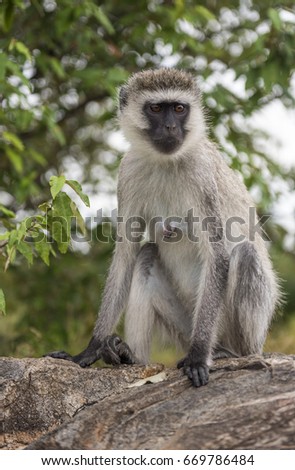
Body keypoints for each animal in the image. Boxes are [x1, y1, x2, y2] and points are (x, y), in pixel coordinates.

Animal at [48, 69, 280, 386]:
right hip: (182, 327)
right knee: (146, 255)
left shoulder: (202, 175)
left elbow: (217, 256)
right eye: (156, 108)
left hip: (240, 334)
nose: (170, 127)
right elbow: (126, 255)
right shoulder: (128, 172)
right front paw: (90, 349)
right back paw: (131, 357)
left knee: (245, 255)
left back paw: (229, 354)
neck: (166, 162)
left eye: (179, 108)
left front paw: (198, 356)